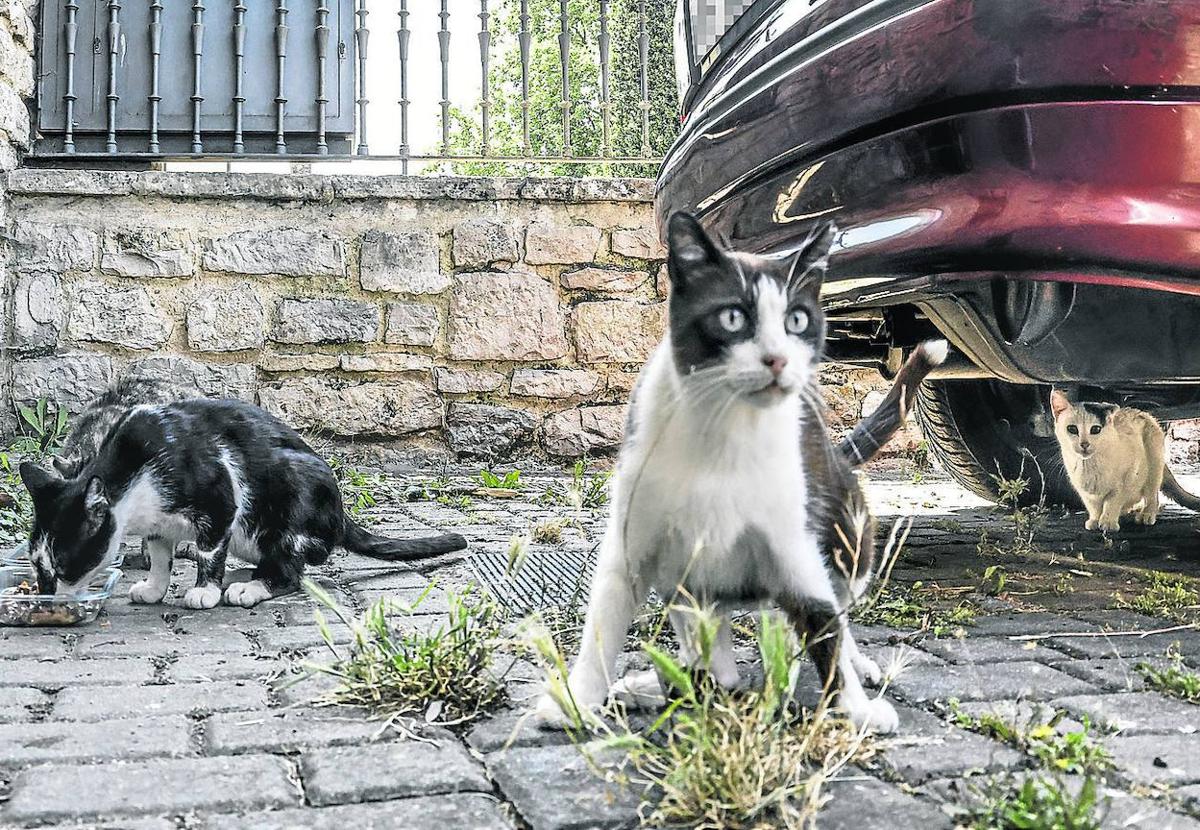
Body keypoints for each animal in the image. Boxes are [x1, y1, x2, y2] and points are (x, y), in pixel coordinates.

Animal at [21, 398, 468, 606]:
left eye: (62, 566)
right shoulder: (158, 526)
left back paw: (249, 587)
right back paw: (244, 575)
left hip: (294, 493)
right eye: (37, 567)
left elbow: (207, 550)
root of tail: (341, 517)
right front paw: (154, 588)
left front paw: (204, 590)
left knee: (292, 573)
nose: (45, 596)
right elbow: (161, 557)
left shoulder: (220, 496)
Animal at [537, 213, 945, 734]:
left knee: (837, 601)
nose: (777, 358)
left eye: (796, 320)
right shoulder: (634, 538)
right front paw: (576, 700)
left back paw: (853, 662)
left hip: (847, 537)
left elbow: (822, 619)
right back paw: (662, 682)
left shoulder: (791, 541)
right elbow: (604, 623)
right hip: (687, 580)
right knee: (715, 655)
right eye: (733, 317)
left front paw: (855, 706)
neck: (725, 431)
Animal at [1051, 391, 1200, 532]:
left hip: (1154, 461)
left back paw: (1146, 514)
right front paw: (1095, 520)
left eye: (1095, 429)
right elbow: (1094, 507)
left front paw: (1108, 522)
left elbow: (1112, 501)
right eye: (1072, 429)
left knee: (1152, 494)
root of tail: (1142, 412)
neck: (1090, 466)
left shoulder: (1126, 479)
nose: (1084, 444)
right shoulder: (1085, 493)